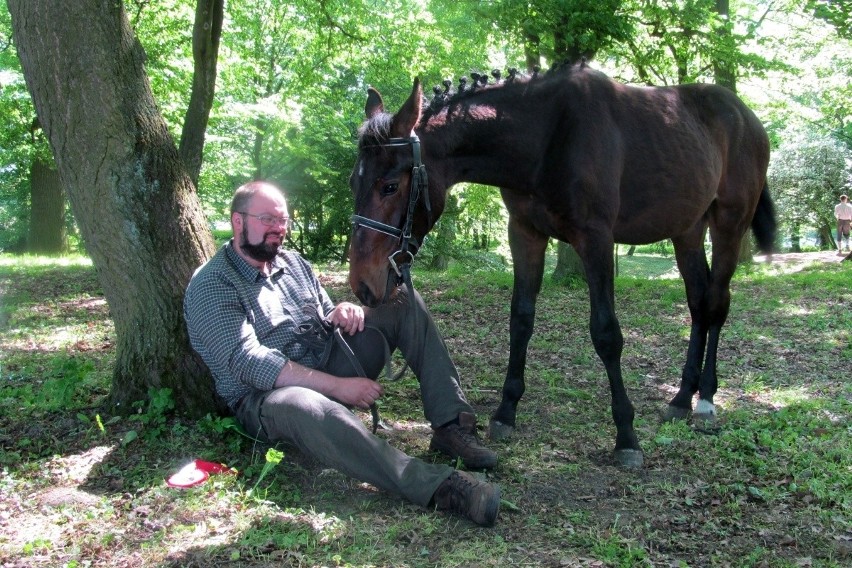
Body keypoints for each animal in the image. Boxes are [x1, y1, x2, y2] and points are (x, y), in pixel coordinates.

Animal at [348, 64, 780, 468]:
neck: (546, 136)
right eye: (355, 182)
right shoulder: (525, 234)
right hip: (687, 231)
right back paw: (681, 397)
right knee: (697, 304)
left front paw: (626, 435)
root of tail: (747, 116)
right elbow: (520, 320)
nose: (362, 284)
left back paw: (705, 400)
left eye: (390, 186)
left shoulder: (596, 239)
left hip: (729, 225)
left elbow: (606, 333)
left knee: (716, 304)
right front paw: (506, 411)